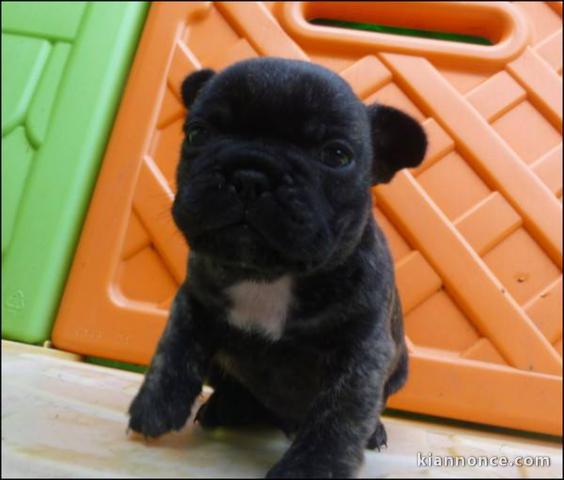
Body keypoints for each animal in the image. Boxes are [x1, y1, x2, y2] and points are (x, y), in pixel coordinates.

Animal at [129, 56, 428, 476]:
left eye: (337, 156)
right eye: (197, 133)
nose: (250, 174)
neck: (268, 276)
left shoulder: (362, 351)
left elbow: (341, 412)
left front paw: (312, 466)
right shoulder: (194, 299)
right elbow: (173, 346)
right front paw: (155, 406)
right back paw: (227, 407)